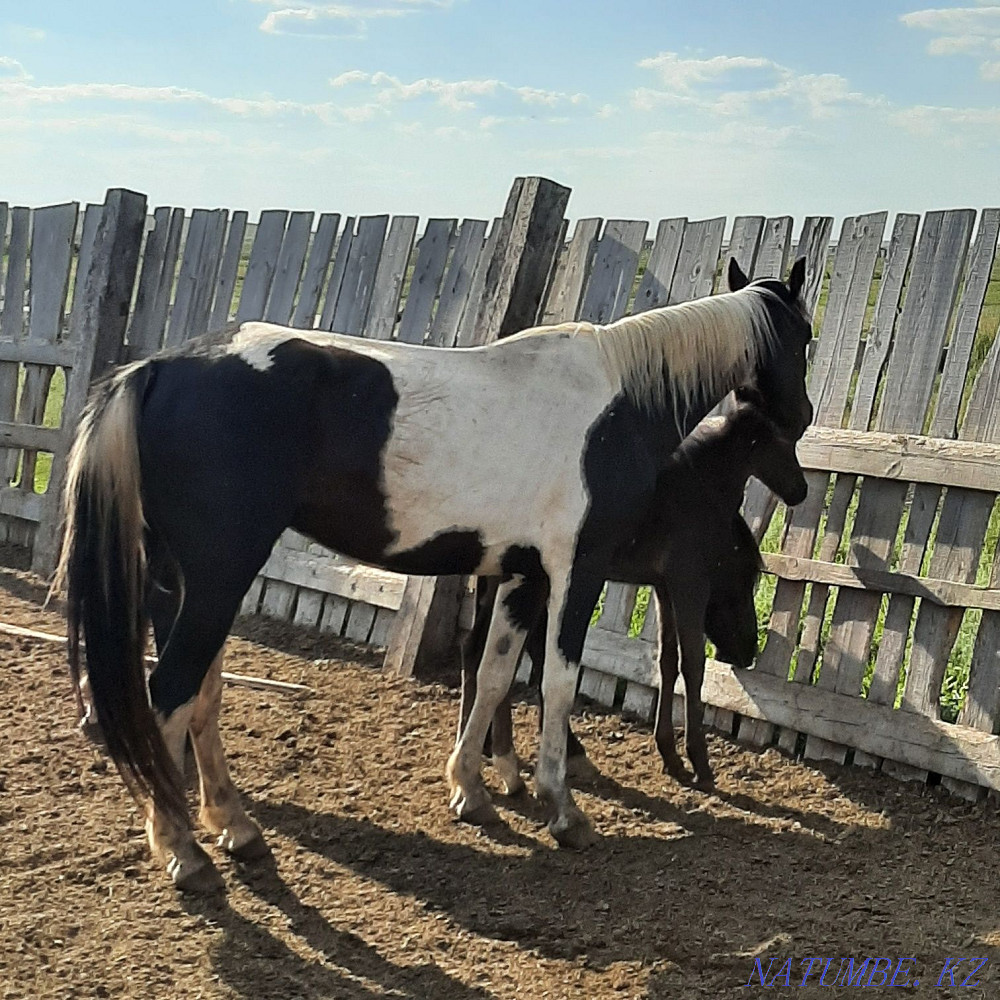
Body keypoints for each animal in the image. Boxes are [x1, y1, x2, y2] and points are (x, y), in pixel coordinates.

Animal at [459, 391, 808, 797]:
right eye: (782, 439)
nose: (801, 489)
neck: (699, 486)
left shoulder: (663, 587)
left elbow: (667, 662)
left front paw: (671, 756)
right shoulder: (690, 584)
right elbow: (692, 665)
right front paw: (700, 763)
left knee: (480, 649)